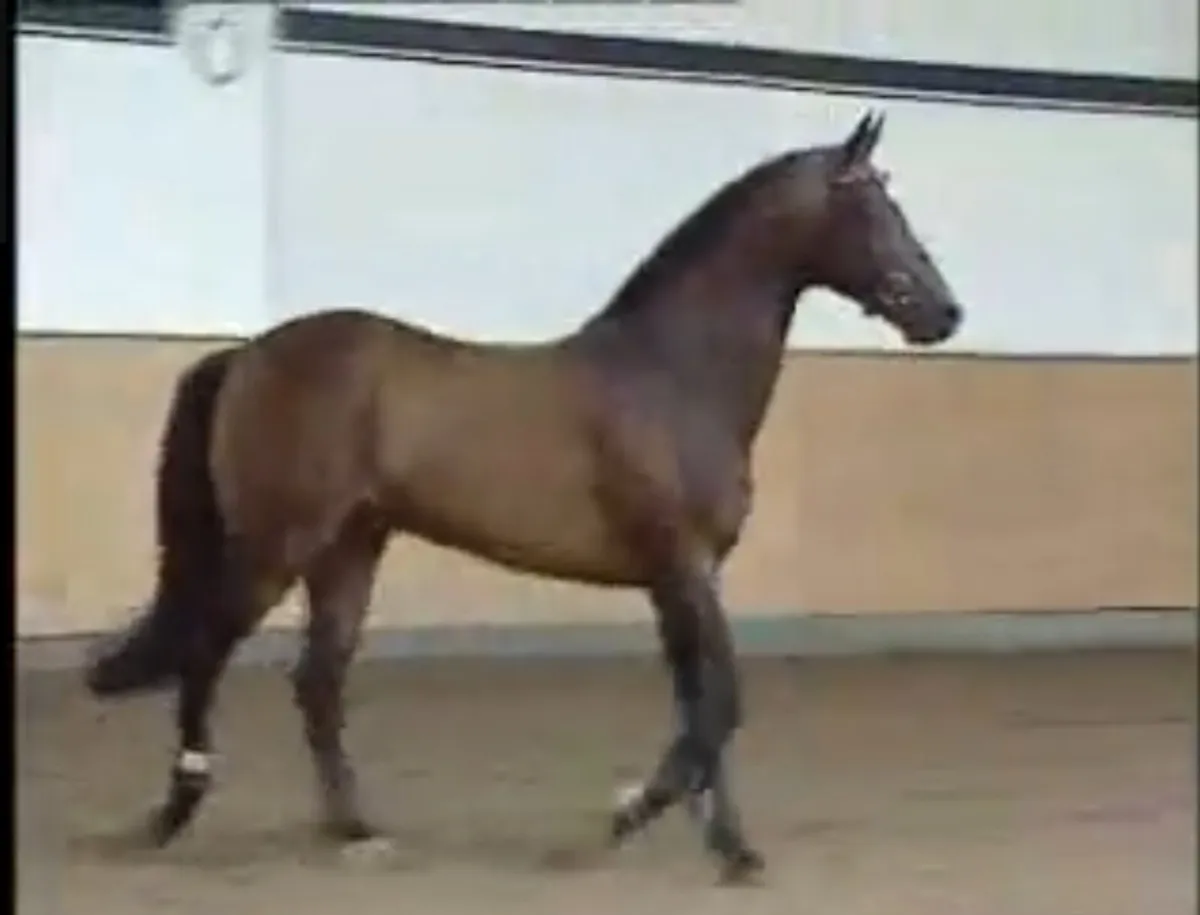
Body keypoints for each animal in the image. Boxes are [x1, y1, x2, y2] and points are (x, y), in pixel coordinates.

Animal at [84, 111, 962, 882]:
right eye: (870, 204)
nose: (945, 312)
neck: (672, 376)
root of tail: (247, 353)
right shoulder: (683, 565)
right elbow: (721, 704)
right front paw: (624, 816)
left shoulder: (677, 579)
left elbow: (701, 703)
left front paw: (732, 849)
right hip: (278, 544)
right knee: (209, 652)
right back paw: (175, 811)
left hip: (350, 546)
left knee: (317, 681)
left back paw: (357, 831)